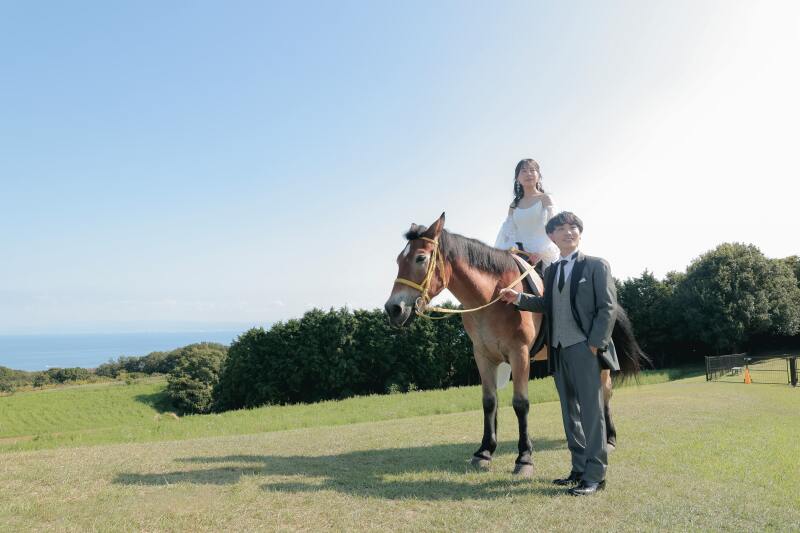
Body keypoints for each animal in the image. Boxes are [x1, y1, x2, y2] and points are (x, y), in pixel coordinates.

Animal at [384, 212, 648, 476]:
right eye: (397, 260)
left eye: (420, 258)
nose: (393, 309)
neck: (492, 296)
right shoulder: (483, 356)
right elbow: (489, 402)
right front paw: (484, 451)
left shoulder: (518, 353)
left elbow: (520, 404)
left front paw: (524, 458)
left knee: (604, 393)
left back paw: (609, 439)